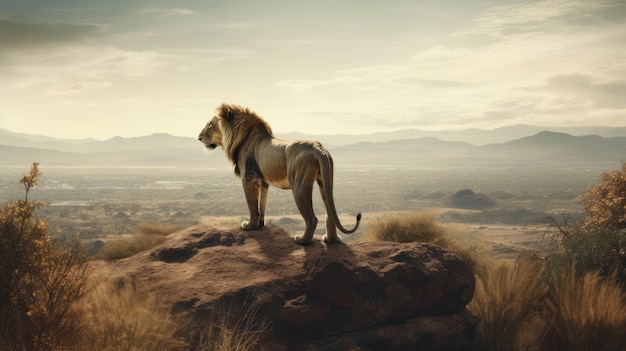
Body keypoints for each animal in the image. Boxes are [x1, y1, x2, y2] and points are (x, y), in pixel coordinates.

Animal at [197, 103, 358, 245]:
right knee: (330, 213)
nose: (199, 137)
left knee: (312, 219)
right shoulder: (263, 181)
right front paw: (260, 225)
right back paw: (332, 240)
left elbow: (252, 205)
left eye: (210, 125)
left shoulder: (248, 178)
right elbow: (262, 205)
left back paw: (302, 241)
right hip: (325, 181)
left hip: (299, 186)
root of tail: (318, 148)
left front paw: (249, 226)